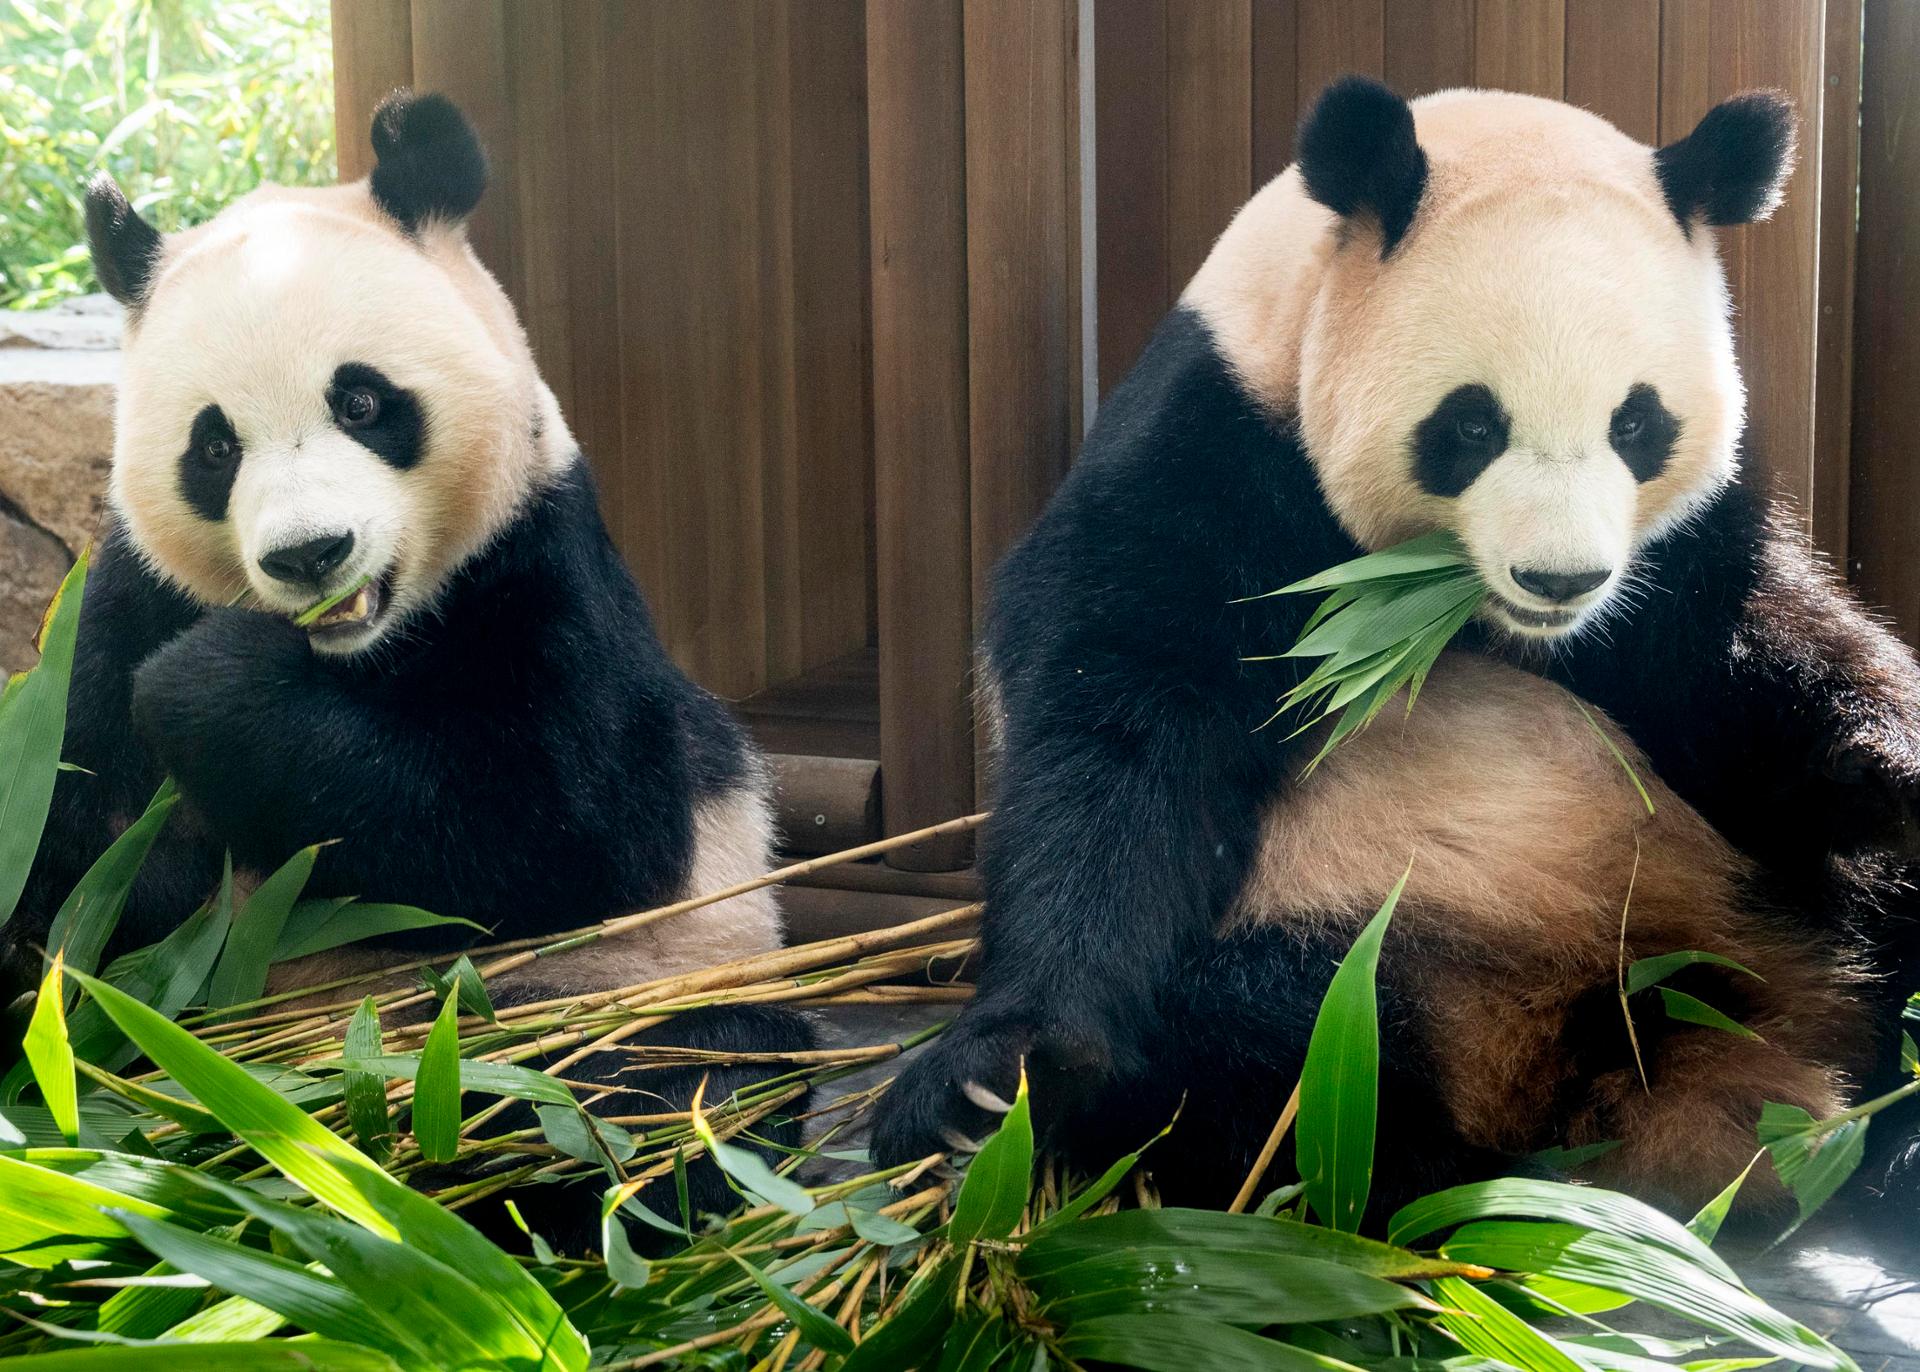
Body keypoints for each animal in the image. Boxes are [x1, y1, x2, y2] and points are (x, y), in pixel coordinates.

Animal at [2, 91, 812, 1248]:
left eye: (362, 402)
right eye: (214, 447)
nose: (310, 554)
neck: (357, 649)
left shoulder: (539, 571)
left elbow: (559, 834)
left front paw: (214, 684)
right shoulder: (121, 604)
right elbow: (80, 873)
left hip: (653, 974)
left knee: (665, 1087)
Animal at [872, 77, 1920, 1223]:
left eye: (1638, 423)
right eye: (1471, 426)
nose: (1561, 579)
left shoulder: (1682, 566)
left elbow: (1757, 671)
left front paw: (1889, 757)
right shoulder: (1214, 459)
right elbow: (1118, 736)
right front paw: (993, 1079)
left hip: (1759, 898)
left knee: (1878, 915)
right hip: (1355, 916)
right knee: (1272, 1046)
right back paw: (1433, 1184)